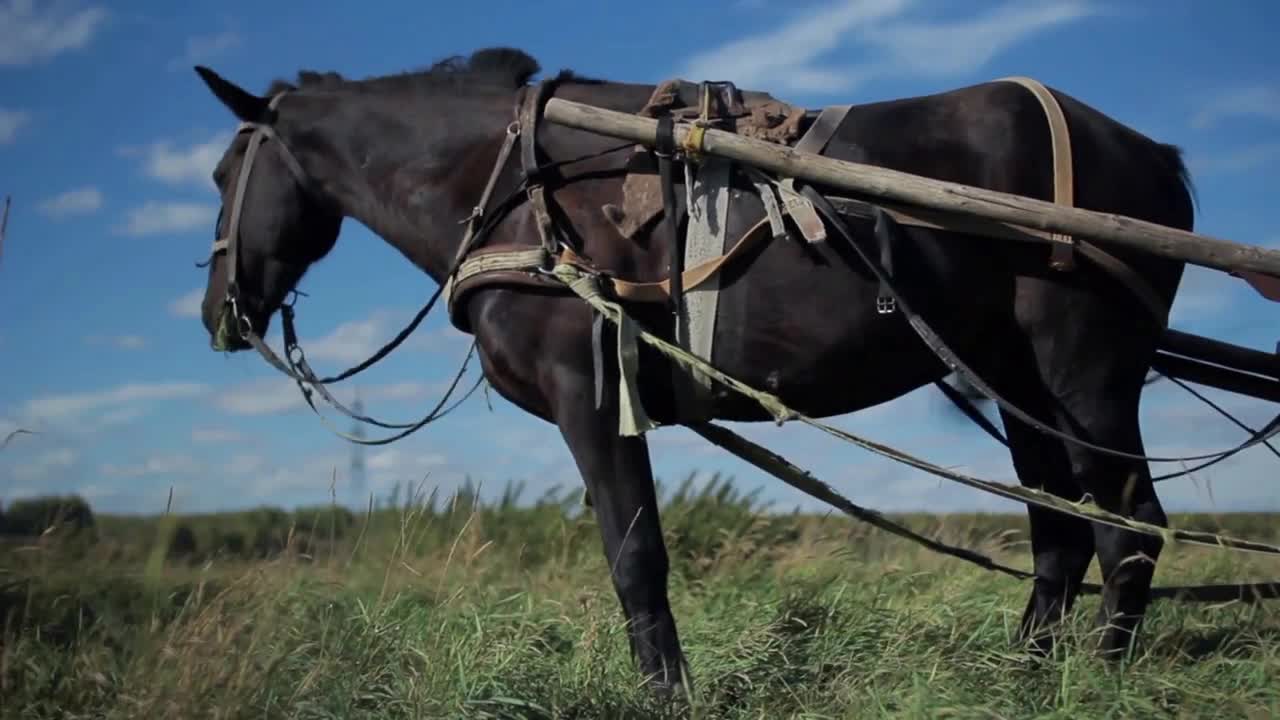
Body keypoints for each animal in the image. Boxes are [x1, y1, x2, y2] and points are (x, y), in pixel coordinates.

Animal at [192, 46, 1198, 691]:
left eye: (219, 177)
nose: (216, 312)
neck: (512, 187)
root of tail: (1150, 152)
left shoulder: (591, 396)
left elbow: (635, 554)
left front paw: (666, 692)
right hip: (1012, 377)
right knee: (1061, 529)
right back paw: (1026, 674)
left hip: (1083, 375)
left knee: (1131, 528)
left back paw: (1100, 678)